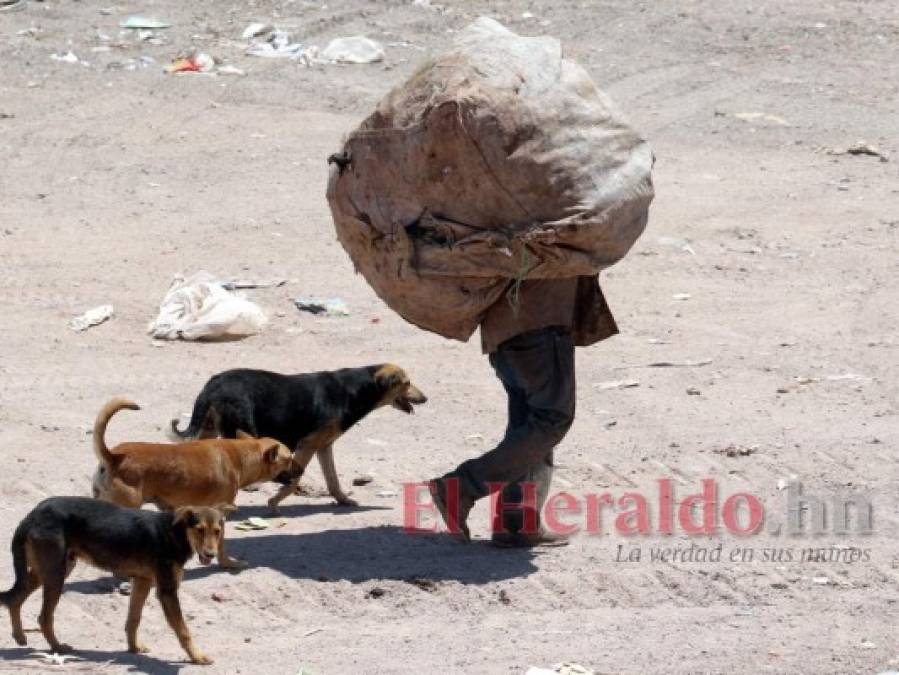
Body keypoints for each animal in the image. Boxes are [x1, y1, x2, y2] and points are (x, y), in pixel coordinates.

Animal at [0, 496, 230, 664]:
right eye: (199, 530)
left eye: (217, 532)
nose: (210, 555)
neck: (175, 532)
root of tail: (33, 514)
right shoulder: (167, 591)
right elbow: (183, 631)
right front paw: (197, 657)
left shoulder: (143, 582)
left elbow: (134, 620)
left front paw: (134, 648)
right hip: (56, 574)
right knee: (43, 617)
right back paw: (58, 647)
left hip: (51, 569)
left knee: (14, 598)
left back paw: (20, 636)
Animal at [90, 398, 292, 568]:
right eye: (289, 459)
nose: (298, 472)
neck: (241, 455)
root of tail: (113, 457)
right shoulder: (219, 515)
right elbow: (220, 546)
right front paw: (227, 563)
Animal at [173, 364, 432, 512]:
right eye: (407, 383)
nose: (426, 398)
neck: (358, 388)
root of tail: (213, 385)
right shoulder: (308, 444)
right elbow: (296, 477)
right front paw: (276, 501)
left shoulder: (324, 446)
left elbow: (332, 479)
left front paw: (343, 500)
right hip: (240, 429)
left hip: (209, 430)